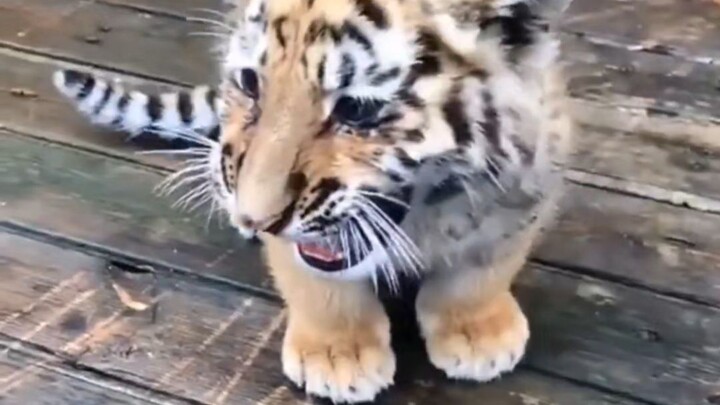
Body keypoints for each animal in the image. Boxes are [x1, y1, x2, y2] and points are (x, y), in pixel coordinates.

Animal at [53, 0, 575, 402]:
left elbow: (483, 266)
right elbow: (314, 279)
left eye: (357, 108)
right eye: (250, 82)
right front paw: (338, 355)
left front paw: (477, 332)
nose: (252, 218)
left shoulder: (524, 186)